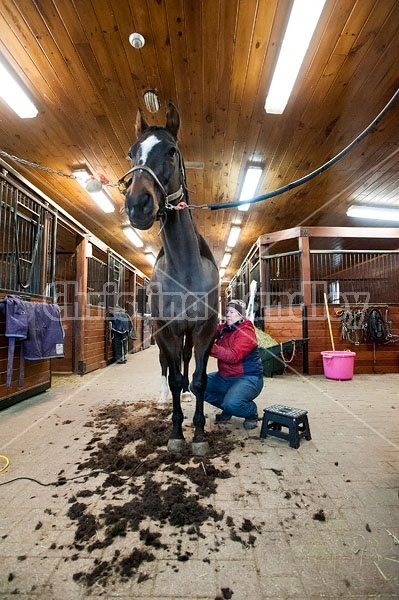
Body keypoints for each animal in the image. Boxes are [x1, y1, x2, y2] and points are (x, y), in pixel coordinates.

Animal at [121, 102, 219, 454]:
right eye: (132, 153)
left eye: (172, 151)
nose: (138, 204)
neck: (186, 271)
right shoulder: (166, 330)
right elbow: (173, 375)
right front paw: (177, 433)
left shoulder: (204, 330)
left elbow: (200, 378)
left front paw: (200, 434)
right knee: (166, 365)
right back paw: (164, 398)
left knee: (186, 362)